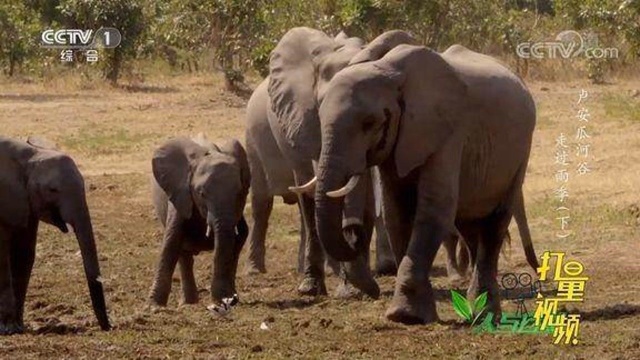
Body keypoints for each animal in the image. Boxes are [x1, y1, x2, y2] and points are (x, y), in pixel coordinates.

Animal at [0, 136, 110, 334]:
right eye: (52, 190)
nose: (109, 327)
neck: (29, 156)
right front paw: (7, 330)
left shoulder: (26, 203)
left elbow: (24, 256)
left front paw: (19, 327)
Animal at [149, 136, 251, 306]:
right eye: (201, 193)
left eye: (239, 192)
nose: (225, 300)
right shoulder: (180, 193)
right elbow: (171, 241)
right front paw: (153, 306)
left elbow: (237, 240)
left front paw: (225, 299)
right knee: (183, 255)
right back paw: (188, 303)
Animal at [242, 27, 412, 298]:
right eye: (321, 111)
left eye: (373, 121)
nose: (352, 233)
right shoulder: (303, 122)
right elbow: (313, 196)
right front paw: (311, 289)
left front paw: (352, 289)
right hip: (253, 137)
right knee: (263, 202)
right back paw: (256, 270)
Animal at [312, 40, 536, 324]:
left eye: (369, 123)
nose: (353, 237)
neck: (389, 72)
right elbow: (396, 213)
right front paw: (409, 314)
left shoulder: (447, 131)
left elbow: (434, 208)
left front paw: (406, 315)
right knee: (470, 227)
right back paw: (476, 310)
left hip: (520, 154)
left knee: (494, 225)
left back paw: (485, 315)